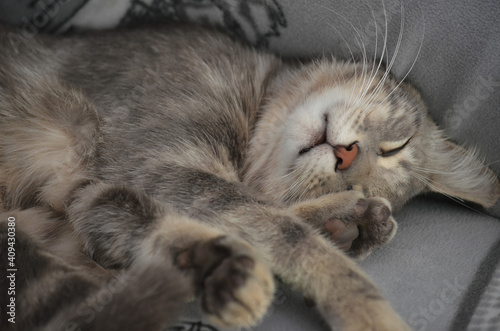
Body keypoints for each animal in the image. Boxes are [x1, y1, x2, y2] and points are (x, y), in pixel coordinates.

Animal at [0, 24, 500, 331]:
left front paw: (344, 219)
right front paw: (369, 313)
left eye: (353, 179)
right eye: (398, 144)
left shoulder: (101, 194)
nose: (345, 156)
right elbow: (282, 230)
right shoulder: (157, 161)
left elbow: (266, 218)